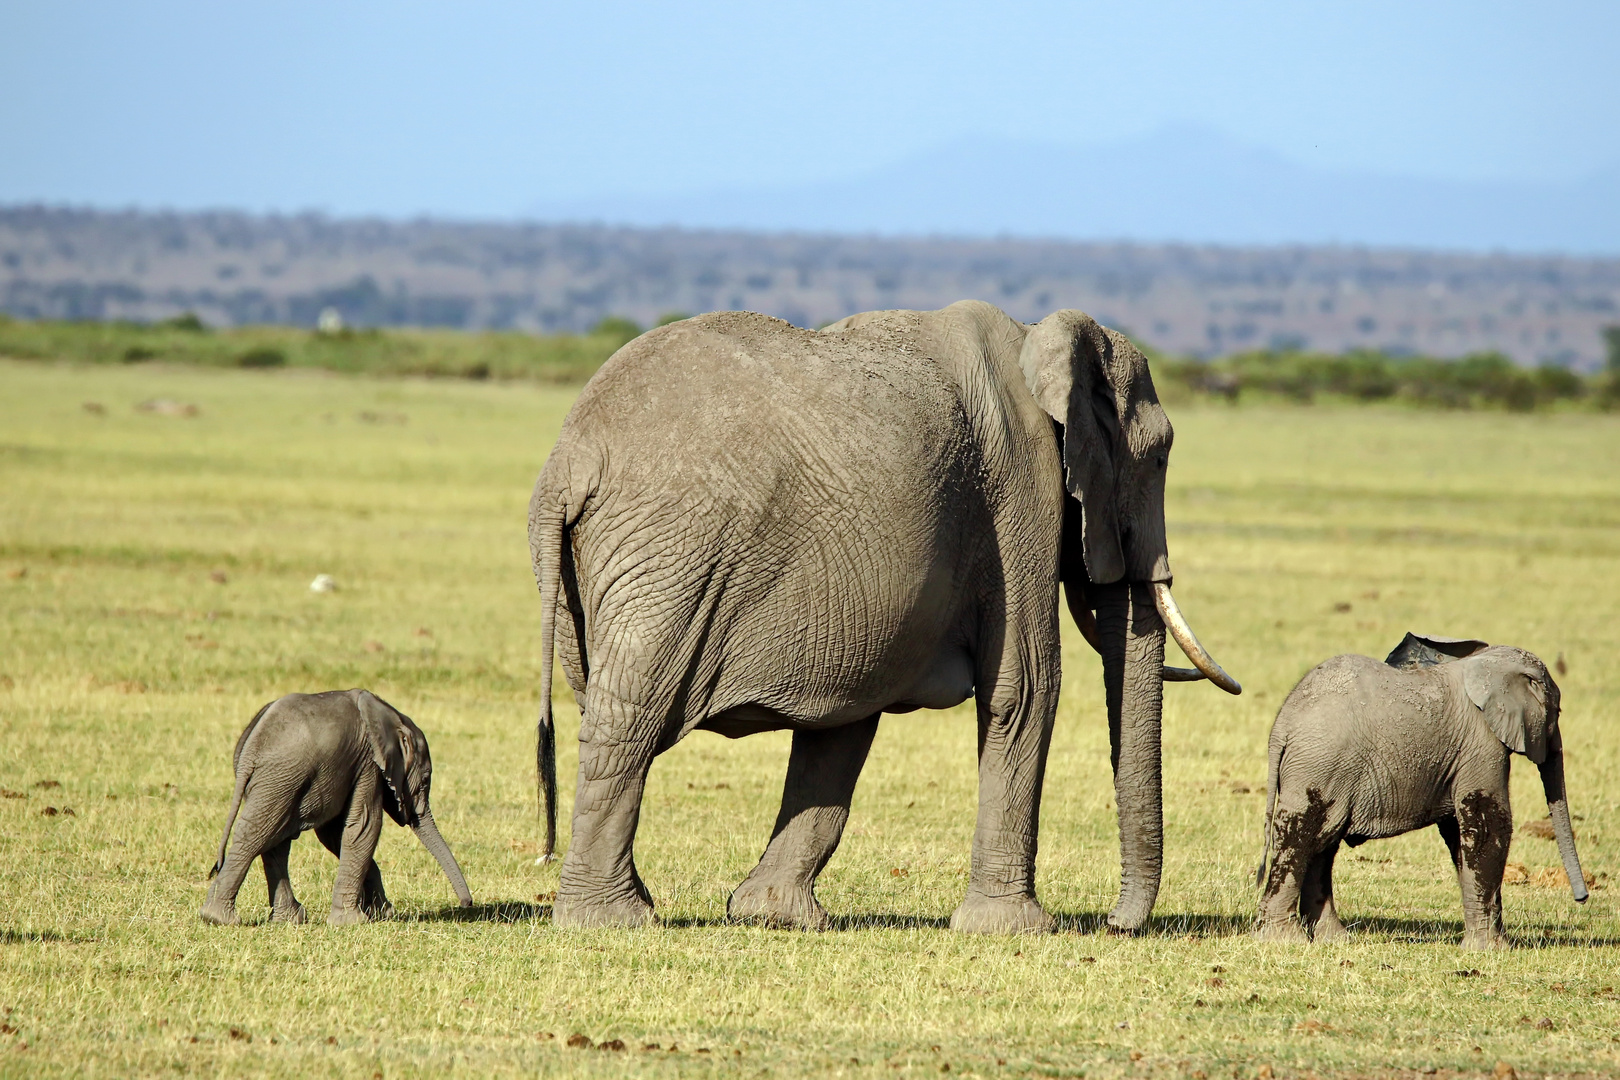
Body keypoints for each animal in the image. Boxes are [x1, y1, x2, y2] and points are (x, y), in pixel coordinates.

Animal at [196, 689, 473, 926]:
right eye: (425, 780)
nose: (467, 904)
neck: (391, 716)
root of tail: (249, 750)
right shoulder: (368, 761)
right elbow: (363, 826)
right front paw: (354, 922)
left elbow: (335, 833)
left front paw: (382, 914)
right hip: (282, 776)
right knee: (258, 834)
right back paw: (220, 918)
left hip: (279, 781)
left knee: (274, 838)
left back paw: (286, 920)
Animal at [531, 299, 1237, 932]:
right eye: (1160, 456)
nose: (1117, 924)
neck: (1039, 338)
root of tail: (568, 458)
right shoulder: (1022, 488)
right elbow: (1027, 690)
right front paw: (1013, 929)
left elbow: (843, 721)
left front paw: (774, 917)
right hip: (672, 557)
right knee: (629, 719)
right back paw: (612, 920)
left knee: (605, 706)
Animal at [1257, 637, 1587, 952]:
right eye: (1557, 711)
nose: (1581, 898)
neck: (1484, 662)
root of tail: (1282, 726)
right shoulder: (1481, 743)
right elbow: (1487, 824)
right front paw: (1491, 950)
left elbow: (1459, 831)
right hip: (1320, 765)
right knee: (1300, 839)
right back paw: (1285, 941)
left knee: (1322, 845)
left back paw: (1333, 940)